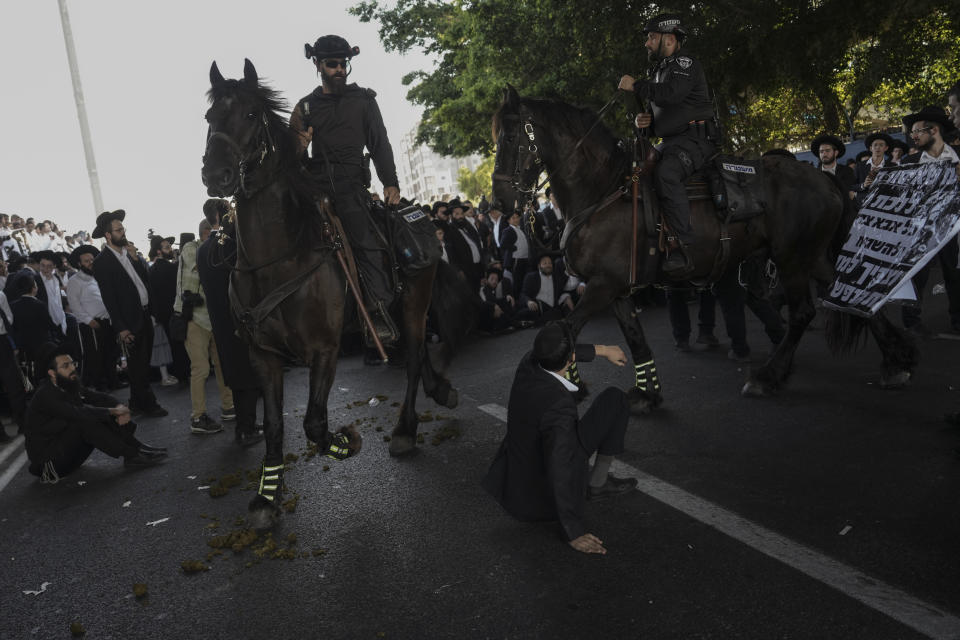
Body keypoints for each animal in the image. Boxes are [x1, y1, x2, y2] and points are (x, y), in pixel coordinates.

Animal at [202, 60, 464, 528]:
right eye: (210, 118)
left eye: (250, 114)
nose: (216, 175)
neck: (277, 259)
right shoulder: (262, 356)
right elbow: (275, 426)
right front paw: (266, 496)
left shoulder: (324, 350)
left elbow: (314, 424)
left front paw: (348, 442)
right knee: (417, 358)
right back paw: (440, 390)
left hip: (415, 304)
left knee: (415, 359)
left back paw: (405, 430)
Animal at [492, 85, 920, 408]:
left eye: (511, 137)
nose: (499, 201)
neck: (604, 191)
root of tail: (822, 177)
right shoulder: (617, 289)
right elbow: (635, 338)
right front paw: (647, 394)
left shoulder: (602, 286)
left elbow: (564, 327)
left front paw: (571, 382)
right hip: (812, 256)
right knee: (849, 297)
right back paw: (896, 361)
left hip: (792, 259)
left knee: (803, 312)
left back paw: (768, 376)